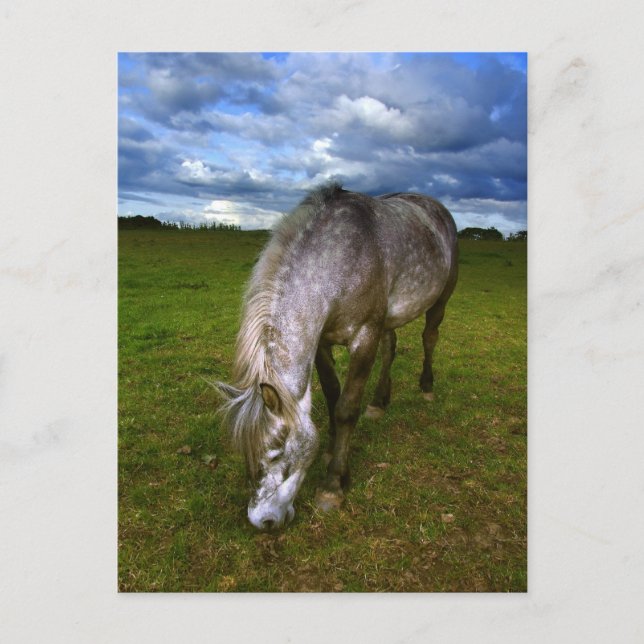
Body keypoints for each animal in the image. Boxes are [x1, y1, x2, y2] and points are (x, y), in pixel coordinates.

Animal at [216, 184, 458, 531]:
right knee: (391, 347)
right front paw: (332, 449)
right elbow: (332, 393)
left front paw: (333, 485)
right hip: (388, 320)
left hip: (440, 299)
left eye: (276, 452)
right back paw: (379, 401)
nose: (262, 521)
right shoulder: (322, 342)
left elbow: (346, 408)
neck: (340, 262)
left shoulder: (364, 338)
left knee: (430, 338)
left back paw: (426, 387)